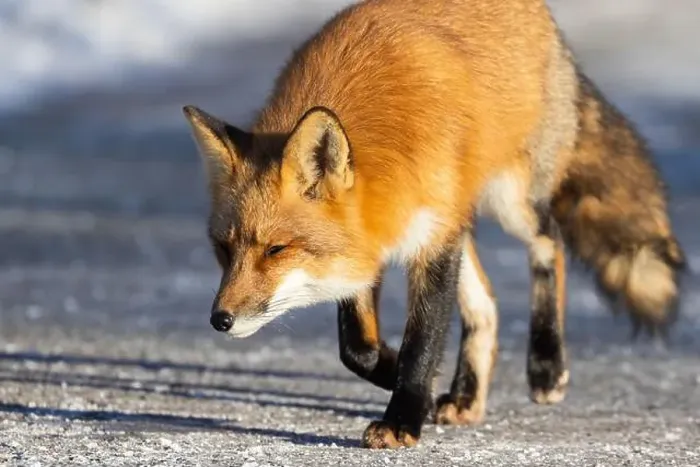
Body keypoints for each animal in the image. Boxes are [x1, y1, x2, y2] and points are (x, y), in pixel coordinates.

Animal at [182, 0, 686, 449]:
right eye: (223, 249)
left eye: (276, 250)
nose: (219, 320)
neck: (387, 158)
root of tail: (546, 20)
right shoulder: (370, 244)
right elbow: (357, 348)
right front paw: (395, 374)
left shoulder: (432, 243)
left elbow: (422, 340)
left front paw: (403, 417)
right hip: (464, 216)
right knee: (486, 305)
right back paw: (467, 395)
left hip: (509, 200)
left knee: (550, 242)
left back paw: (546, 362)